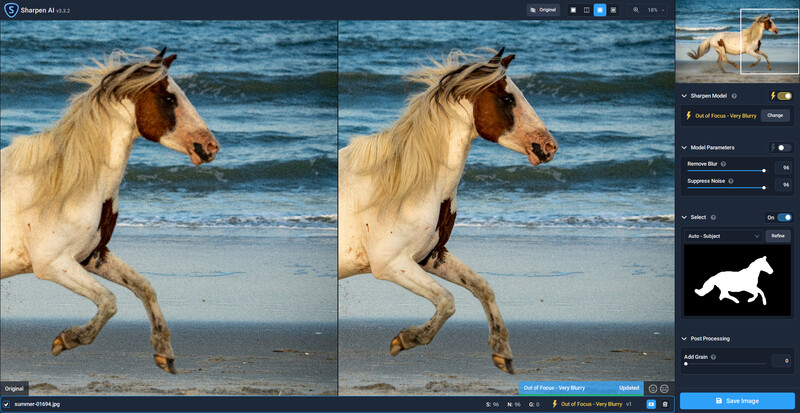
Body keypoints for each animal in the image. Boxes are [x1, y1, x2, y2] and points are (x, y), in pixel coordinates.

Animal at [0, 48, 220, 374]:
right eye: (169, 98)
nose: (210, 146)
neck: (68, 185)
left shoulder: (92, 257)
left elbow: (144, 287)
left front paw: (164, 353)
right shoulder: (53, 264)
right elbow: (108, 302)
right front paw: (67, 340)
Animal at [338, 48, 558, 374]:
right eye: (508, 99)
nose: (548, 147)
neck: (406, 185)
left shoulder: (430, 257)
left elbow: (482, 287)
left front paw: (502, 353)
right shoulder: (391, 264)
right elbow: (447, 301)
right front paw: (405, 340)